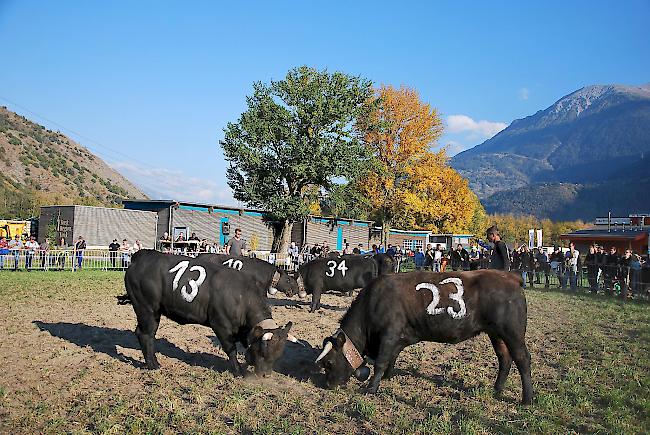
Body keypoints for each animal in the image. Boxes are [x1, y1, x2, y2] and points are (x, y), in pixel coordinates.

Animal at [123, 250, 296, 376]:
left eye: (278, 355)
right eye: (263, 351)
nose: (266, 375)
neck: (242, 297)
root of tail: (142, 256)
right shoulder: (221, 326)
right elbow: (231, 349)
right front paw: (238, 371)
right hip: (147, 309)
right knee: (146, 335)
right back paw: (153, 365)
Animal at [314, 270, 532, 408]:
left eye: (329, 362)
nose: (328, 385)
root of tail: (509, 277)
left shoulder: (389, 335)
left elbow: (381, 362)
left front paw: (371, 388)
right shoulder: (398, 339)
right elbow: (390, 360)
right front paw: (386, 377)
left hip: (512, 333)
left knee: (522, 359)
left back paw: (527, 399)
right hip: (497, 334)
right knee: (505, 358)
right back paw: (497, 389)